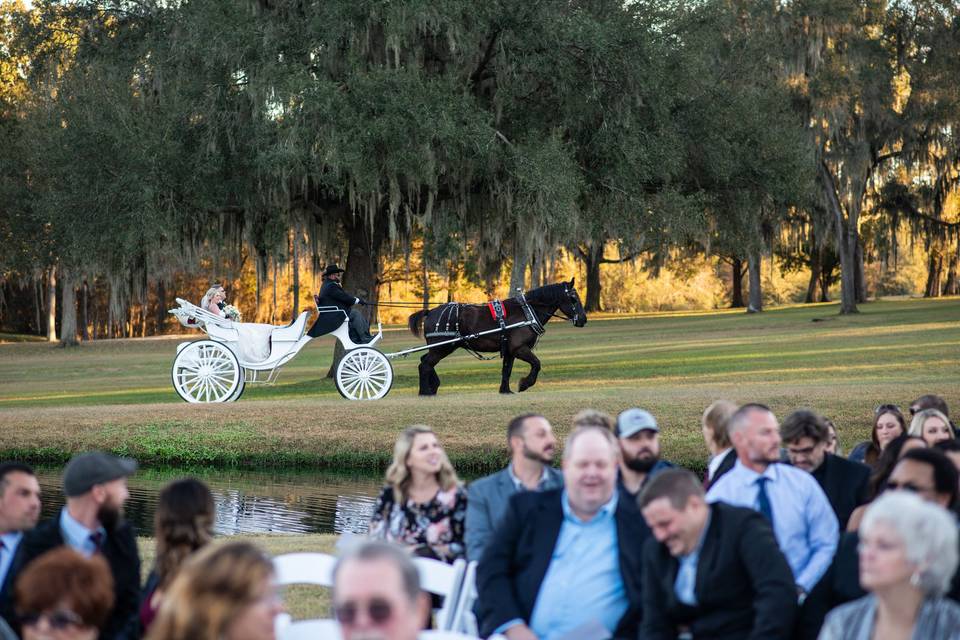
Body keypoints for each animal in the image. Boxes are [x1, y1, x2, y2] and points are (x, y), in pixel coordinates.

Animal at [404, 280, 584, 396]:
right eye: (573, 298)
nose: (583, 319)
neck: (526, 312)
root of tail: (430, 312)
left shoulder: (510, 351)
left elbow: (507, 370)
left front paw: (505, 390)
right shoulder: (519, 349)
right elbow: (536, 364)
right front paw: (524, 384)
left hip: (442, 347)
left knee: (425, 361)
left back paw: (433, 386)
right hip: (442, 347)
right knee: (425, 364)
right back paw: (425, 391)